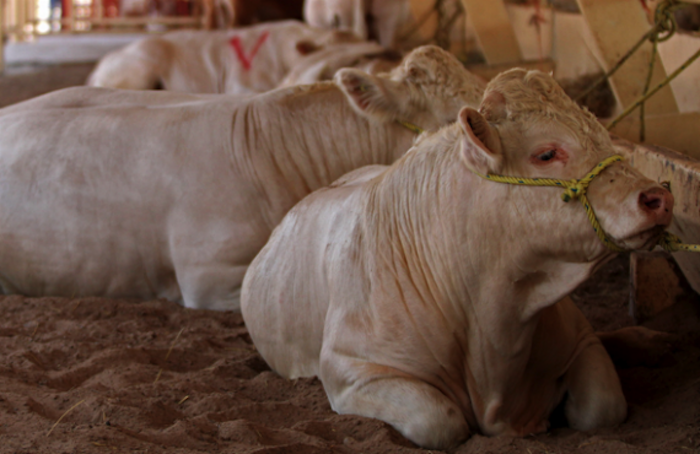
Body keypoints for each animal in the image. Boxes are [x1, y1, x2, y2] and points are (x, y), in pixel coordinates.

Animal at [240, 68, 675, 449]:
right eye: (547, 153)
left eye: (605, 139)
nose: (658, 197)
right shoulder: (352, 368)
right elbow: (439, 420)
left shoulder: (578, 339)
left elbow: (602, 406)